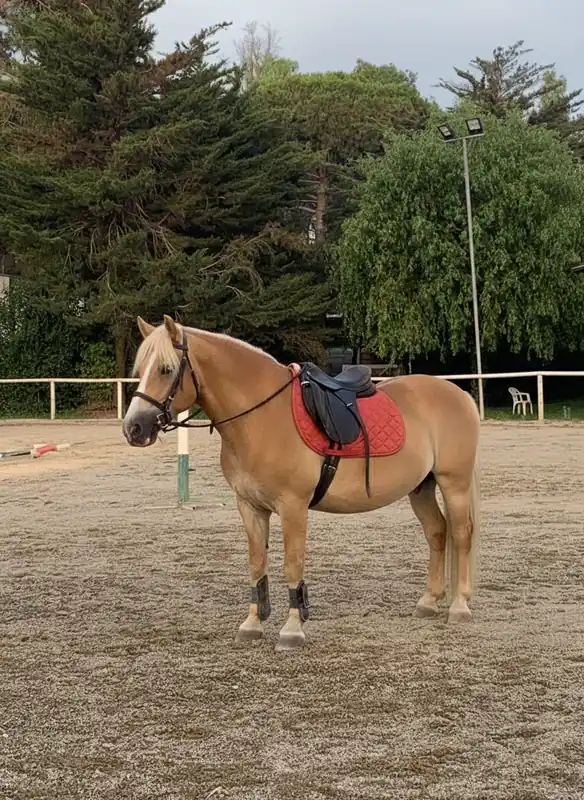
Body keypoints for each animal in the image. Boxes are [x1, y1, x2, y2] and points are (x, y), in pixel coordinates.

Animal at [123, 315, 481, 652]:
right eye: (141, 369)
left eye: (167, 369)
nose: (133, 428)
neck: (262, 418)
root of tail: (459, 394)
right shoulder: (249, 507)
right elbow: (257, 565)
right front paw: (252, 624)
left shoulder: (293, 506)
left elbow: (292, 566)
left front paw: (292, 630)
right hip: (421, 488)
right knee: (437, 532)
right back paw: (429, 602)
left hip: (454, 484)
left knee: (461, 535)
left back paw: (459, 607)